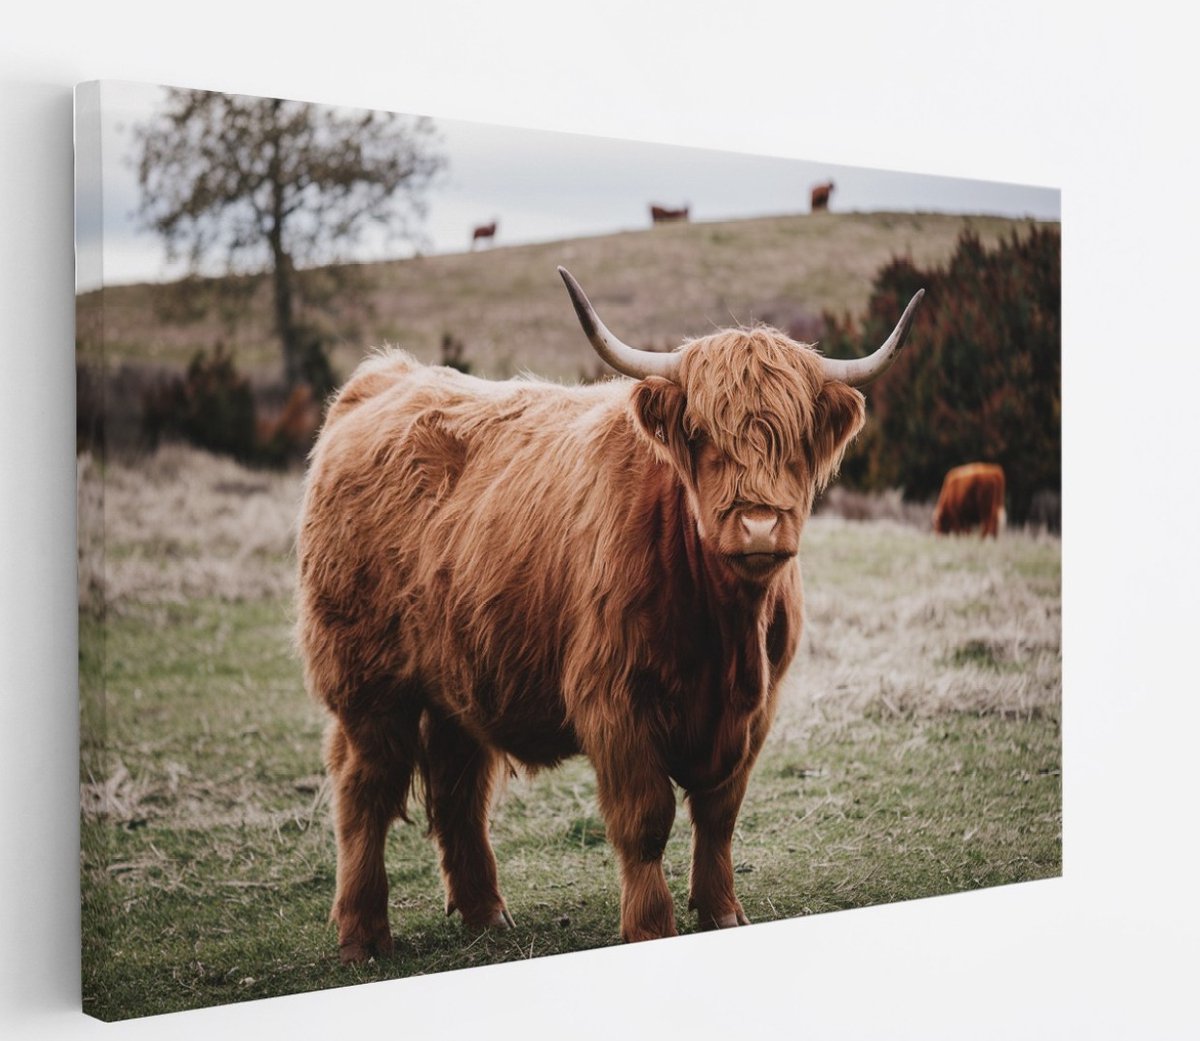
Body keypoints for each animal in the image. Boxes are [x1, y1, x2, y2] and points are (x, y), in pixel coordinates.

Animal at [295, 267, 924, 963]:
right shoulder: (616, 700)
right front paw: (651, 925)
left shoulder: (757, 709)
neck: (724, 632)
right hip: (368, 685)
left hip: (457, 677)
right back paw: (363, 936)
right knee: (365, 791)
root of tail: (384, 379)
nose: (759, 525)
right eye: (701, 435)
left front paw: (723, 912)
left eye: (795, 439)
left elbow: (720, 815)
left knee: (458, 789)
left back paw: (486, 914)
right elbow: (645, 820)